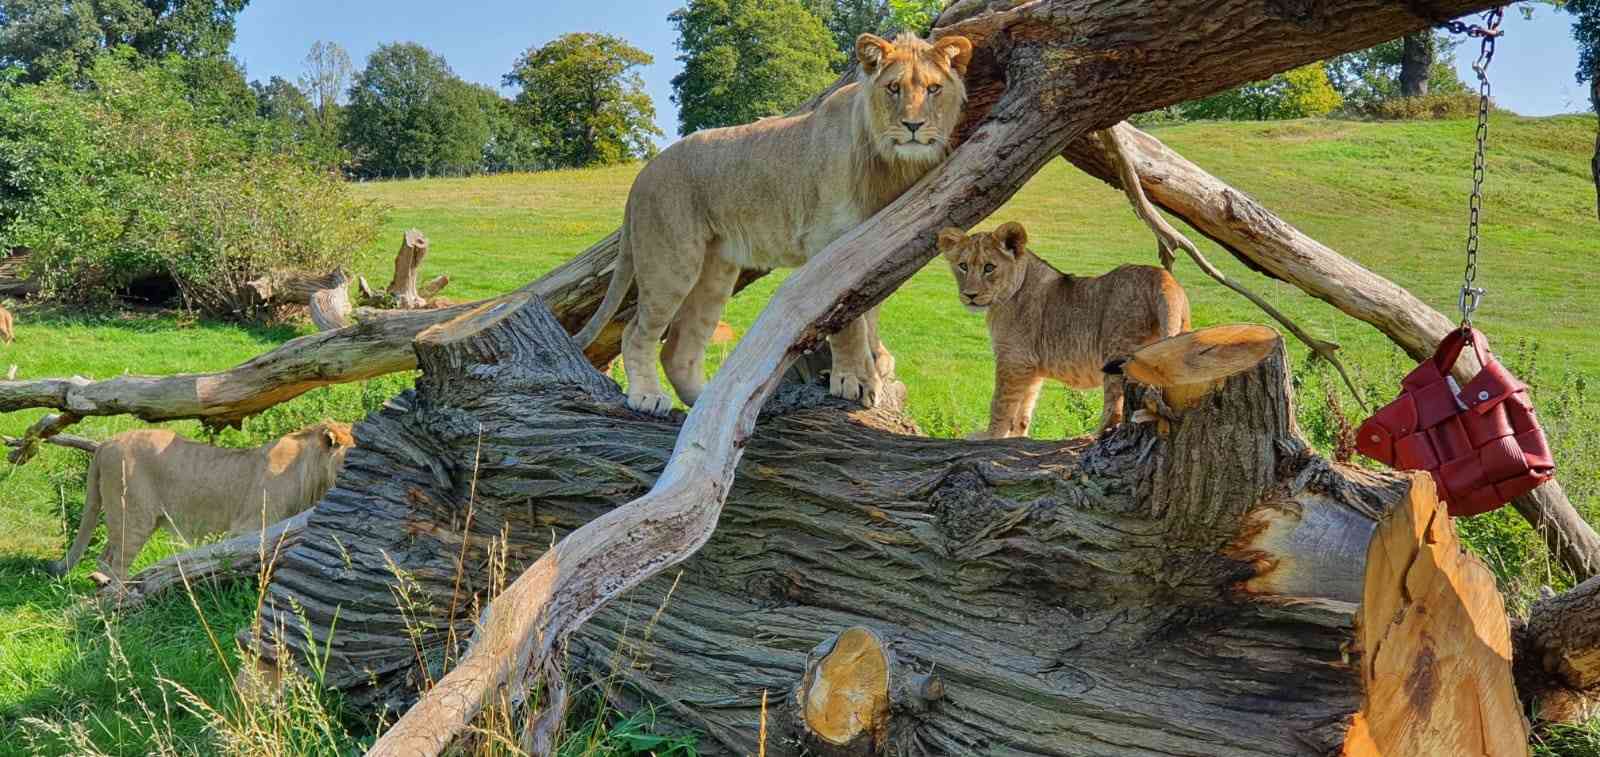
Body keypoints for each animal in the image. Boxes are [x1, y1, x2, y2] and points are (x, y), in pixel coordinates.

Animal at [934, 220, 1190, 435]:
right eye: (963, 266)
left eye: (989, 267)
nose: (970, 295)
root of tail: (1163, 277)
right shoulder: (1030, 367)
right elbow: (1022, 412)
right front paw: (1016, 437)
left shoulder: (1014, 359)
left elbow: (1001, 405)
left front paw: (991, 437)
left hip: (1117, 350)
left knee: (1115, 407)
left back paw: (1091, 437)